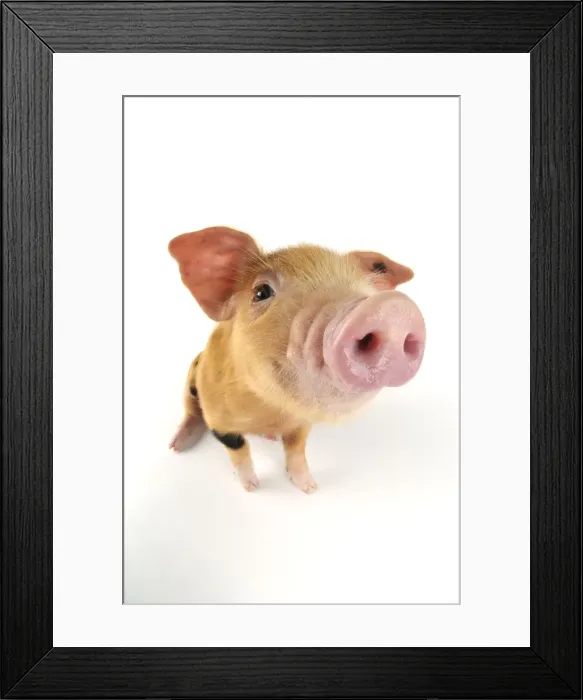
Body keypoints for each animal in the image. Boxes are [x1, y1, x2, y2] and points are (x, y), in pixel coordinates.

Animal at [168, 226, 425, 494]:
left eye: (369, 288)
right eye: (261, 292)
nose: (392, 310)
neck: (270, 411)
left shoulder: (301, 423)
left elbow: (296, 451)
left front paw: (310, 488)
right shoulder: (218, 417)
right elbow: (239, 451)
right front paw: (252, 488)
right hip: (193, 374)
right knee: (190, 410)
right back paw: (176, 445)